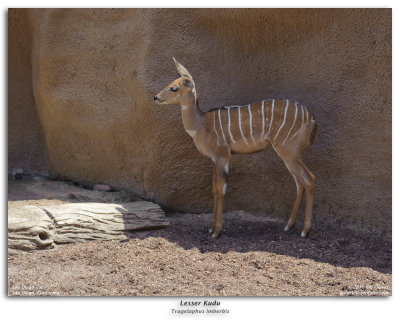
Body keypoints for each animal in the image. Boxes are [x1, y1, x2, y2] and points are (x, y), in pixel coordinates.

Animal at [155, 58, 318, 238]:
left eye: (174, 88)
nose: (155, 97)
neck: (201, 125)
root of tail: (311, 117)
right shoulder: (214, 159)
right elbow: (214, 189)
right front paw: (211, 228)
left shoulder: (223, 156)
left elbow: (221, 189)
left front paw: (216, 231)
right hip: (290, 153)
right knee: (299, 182)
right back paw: (289, 225)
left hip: (288, 151)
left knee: (309, 179)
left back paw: (305, 230)